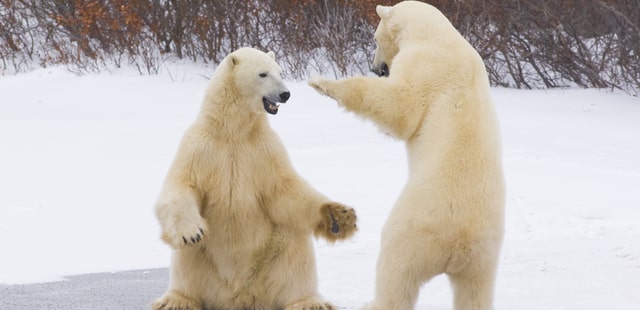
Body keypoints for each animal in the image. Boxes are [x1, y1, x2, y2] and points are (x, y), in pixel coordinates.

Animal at [153, 46, 358, 310]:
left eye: (280, 71)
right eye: (263, 74)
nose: (285, 94)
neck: (233, 131)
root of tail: (242, 297)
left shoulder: (265, 150)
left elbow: (285, 188)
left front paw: (339, 217)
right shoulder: (200, 146)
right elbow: (182, 185)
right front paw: (191, 232)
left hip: (272, 255)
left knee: (294, 250)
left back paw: (309, 302)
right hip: (207, 263)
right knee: (188, 259)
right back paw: (176, 300)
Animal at [308, 2, 504, 310]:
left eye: (375, 38)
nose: (376, 68)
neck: (436, 35)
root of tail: (456, 246)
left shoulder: (424, 66)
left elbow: (399, 108)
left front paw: (321, 83)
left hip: (412, 231)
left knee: (395, 274)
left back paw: (373, 302)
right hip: (483, 257)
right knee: (474, 293)